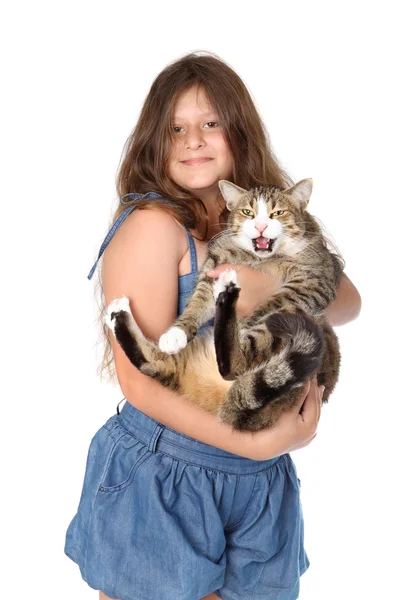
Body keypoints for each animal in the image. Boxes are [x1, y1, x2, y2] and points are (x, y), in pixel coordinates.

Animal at [105, 178, 340, 432]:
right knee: (155, 363)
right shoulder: (214, 266)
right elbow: (197, 301)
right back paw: (119, 311)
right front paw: (177, 332)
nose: (260, 226)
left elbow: (275, 300)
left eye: (278, 213)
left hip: (298, 323)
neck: (259, 258)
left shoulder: (315, 280)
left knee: (238, 361)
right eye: (248, 212)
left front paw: (248, 318)